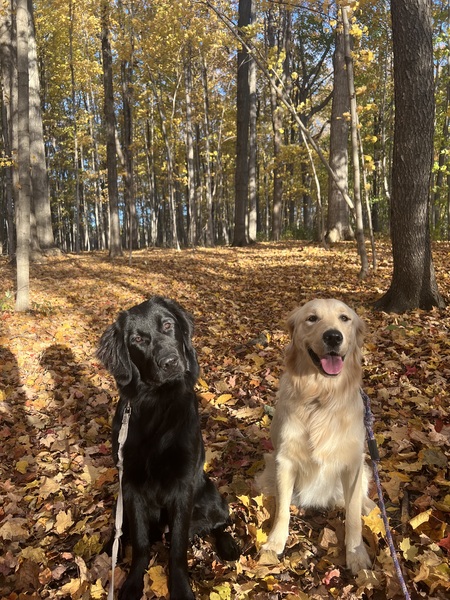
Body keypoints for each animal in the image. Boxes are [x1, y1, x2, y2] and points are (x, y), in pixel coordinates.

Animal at [97, 296, 241, 600]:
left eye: (167, 325)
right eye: (137, 339)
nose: (171, 362)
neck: (157, 403)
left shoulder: (183, 486)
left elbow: (177, 547)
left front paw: (181, 588)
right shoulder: (130, 485)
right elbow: (140, 542)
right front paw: (133, 583)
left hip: (211, 494)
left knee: (220, 521)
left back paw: (228, 545)